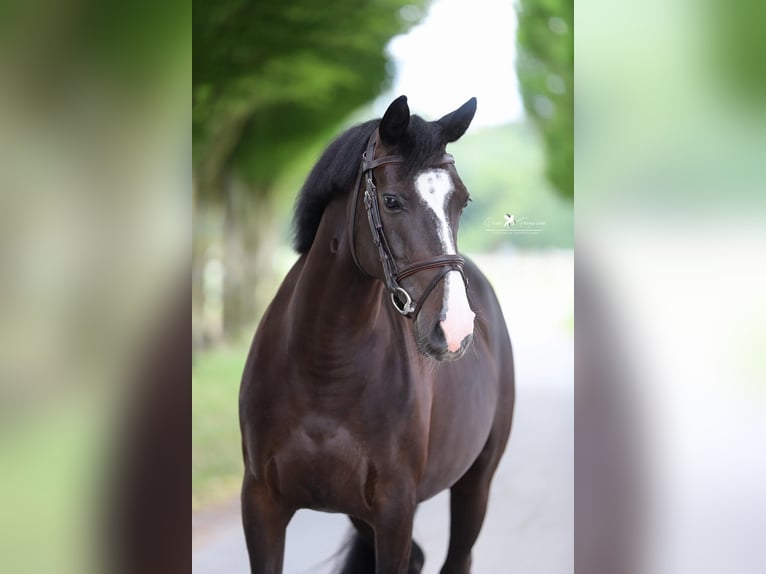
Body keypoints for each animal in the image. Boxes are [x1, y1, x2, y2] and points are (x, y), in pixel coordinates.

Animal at [239, 95, 515, 574]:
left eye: (462, 202)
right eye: (391, 200)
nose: (455, 327)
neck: (322, 367)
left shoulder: (394, 512)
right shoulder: (261, 505)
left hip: (475, 484)